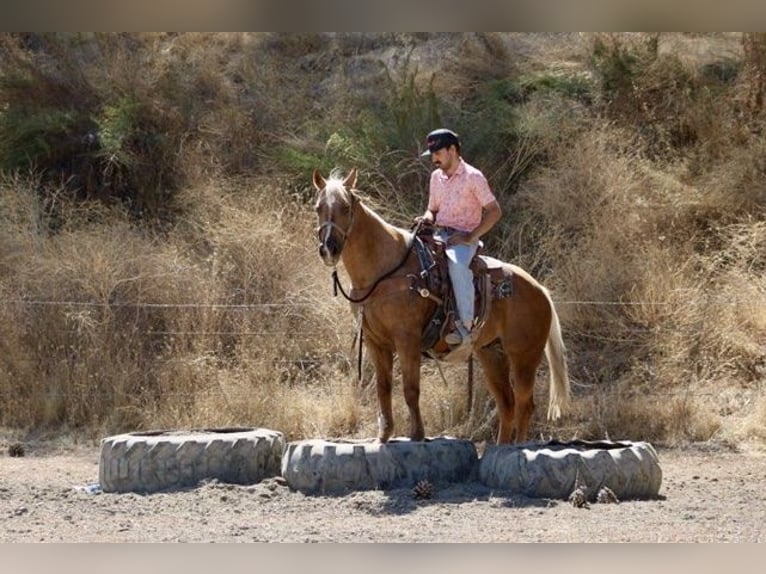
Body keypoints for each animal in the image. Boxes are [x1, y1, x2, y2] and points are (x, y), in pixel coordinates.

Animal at [312, 169, 568, 444]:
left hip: (524, 355)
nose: (328, 248)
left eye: (346, 207)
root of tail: (539, 290)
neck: (385, 271)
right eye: (318, 207)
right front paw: (384, 435)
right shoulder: (374, 341)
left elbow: (410, 389)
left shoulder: (407, 339)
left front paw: (417, 435)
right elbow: (383, 387)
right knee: (507, 404)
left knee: (524, 404)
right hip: (491, 353)